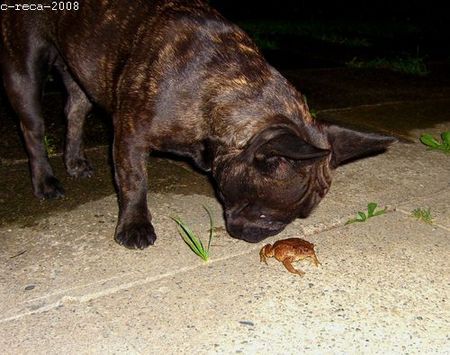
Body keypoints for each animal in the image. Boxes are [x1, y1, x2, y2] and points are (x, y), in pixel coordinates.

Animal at [0, 0, 394, 249]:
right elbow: (134, 181)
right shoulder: (130, 136)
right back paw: (46, 182)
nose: (265, 235)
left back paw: (76, 162)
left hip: (83, 71)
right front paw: (135, 226)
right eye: (266, 214)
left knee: (76, 111)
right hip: (24, 66)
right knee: (33, 129)